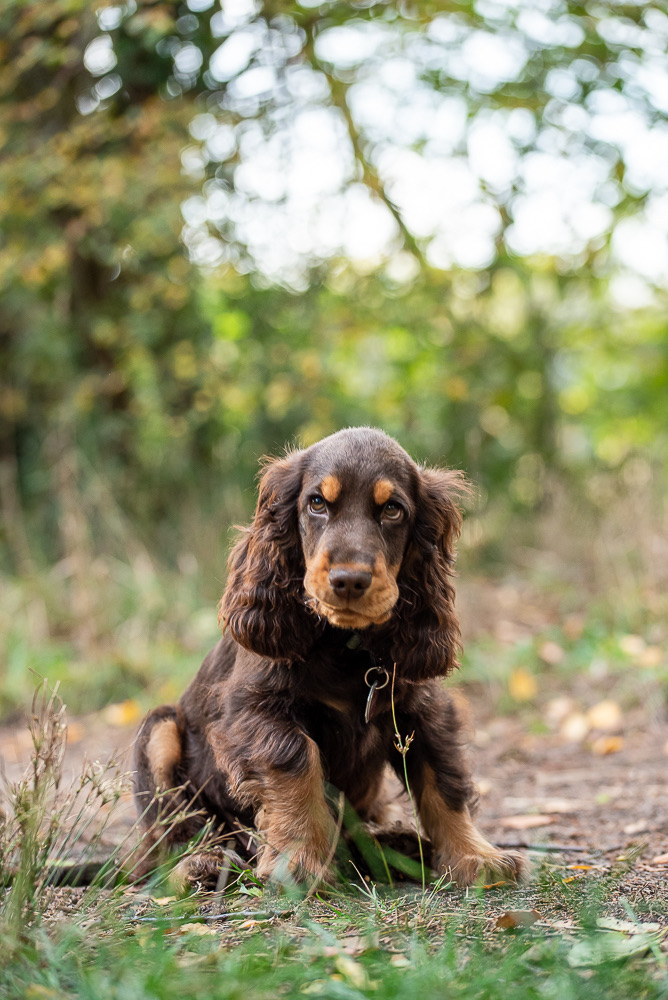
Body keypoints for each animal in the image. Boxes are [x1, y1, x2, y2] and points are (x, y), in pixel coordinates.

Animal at [133, 427, 524, 886]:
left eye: (392, 510)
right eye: (317, 503)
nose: (349, 580)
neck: (343, 645)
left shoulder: (423, 711)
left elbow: (443, 780)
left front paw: (477, 856)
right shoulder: (255, 711)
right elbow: (297, 763)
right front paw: (298, 861)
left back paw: (394, 845)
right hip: (158, 731)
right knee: (171, 837)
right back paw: (200, 863)